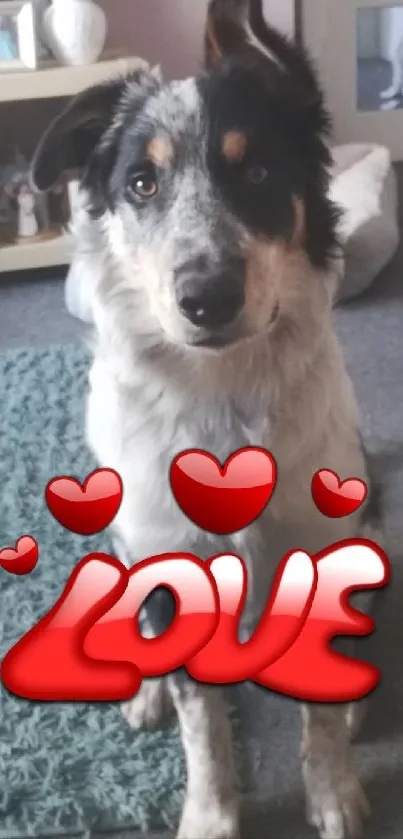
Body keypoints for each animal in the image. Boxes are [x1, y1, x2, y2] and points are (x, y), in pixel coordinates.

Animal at [31, 3, 386, 836]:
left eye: (255, 172)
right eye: (141, 182)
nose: (207, 297)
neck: (222, 396)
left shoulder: (316, 538)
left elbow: (318, 713)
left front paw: (332, 789)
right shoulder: (166, 549)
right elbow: (204, 726)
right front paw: (210, 815)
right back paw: (145, 692)